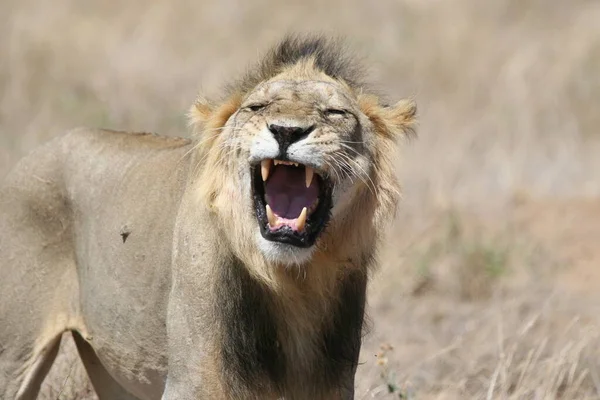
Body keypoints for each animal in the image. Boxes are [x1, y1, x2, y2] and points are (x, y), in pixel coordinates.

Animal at [0, 36, 414, 398]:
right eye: (257, 108)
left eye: (334, 112)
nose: (286, 131)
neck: (291, 281)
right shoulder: (192, 382)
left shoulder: (331, 383)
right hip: (14, 355)